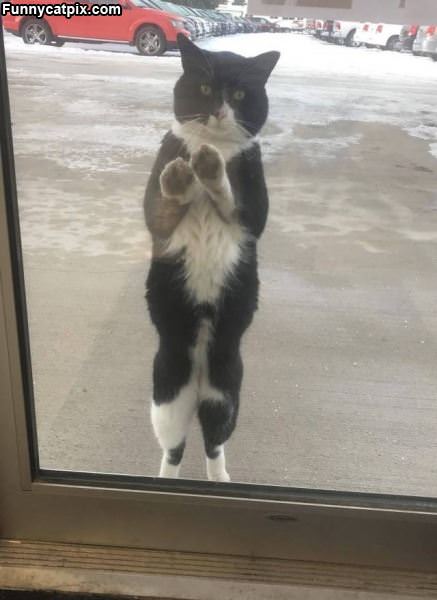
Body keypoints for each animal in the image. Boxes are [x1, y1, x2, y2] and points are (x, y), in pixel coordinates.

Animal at [144, 34, 280, 482]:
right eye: (204, 87)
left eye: (238, 94)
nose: (219, 110)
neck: (214, 145)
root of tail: (201, 377)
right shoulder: (156, 220)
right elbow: (167, 204)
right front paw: (181, 177)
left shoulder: (253, 213)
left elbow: (229, 197)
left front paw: (209, 169)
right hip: (167, 390)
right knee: (175, 446)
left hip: (227, 393)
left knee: (213, 442)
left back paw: (221, 480)